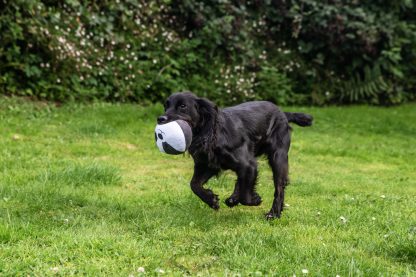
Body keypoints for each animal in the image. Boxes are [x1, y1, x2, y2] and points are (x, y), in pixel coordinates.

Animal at [158, 91, 314, 219]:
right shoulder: (208, 165)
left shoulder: (248, 164)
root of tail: (283, 113)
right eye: (166, 106)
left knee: (279, 188)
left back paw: (274, 214)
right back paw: (233, 198)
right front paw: (211, 200)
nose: (160, 119)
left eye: (182, 106)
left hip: (278, 158)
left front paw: (255, 199)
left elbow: (246, 195)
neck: (213, 132)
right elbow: (194, 184)